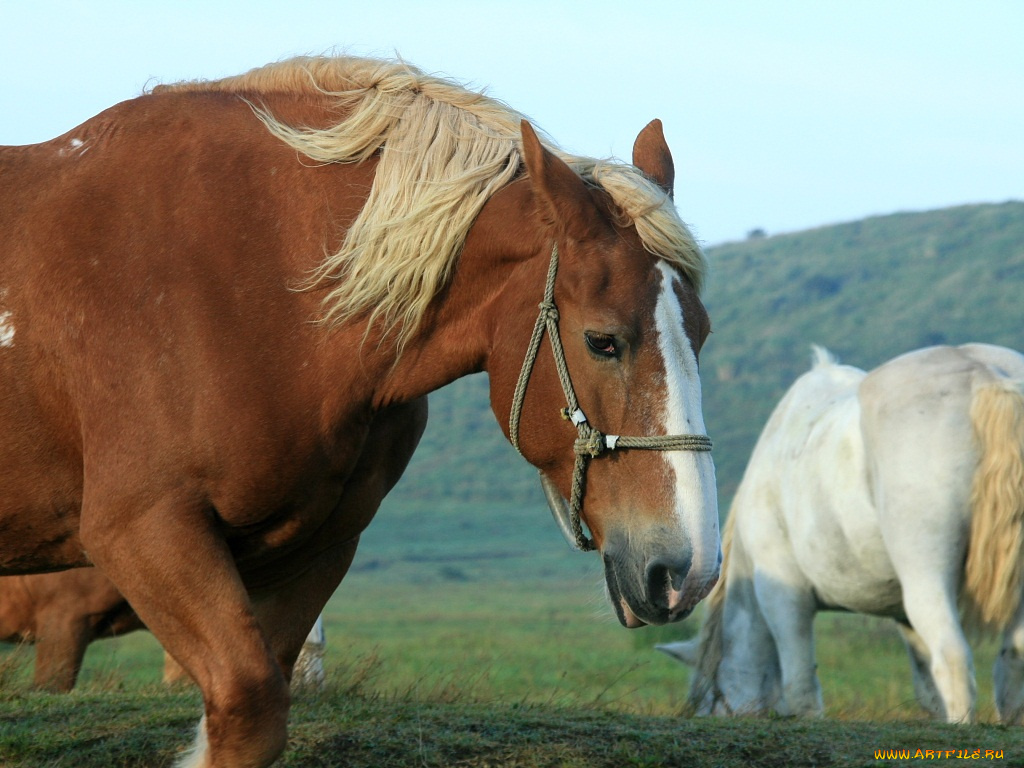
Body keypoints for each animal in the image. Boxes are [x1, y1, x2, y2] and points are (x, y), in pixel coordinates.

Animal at [0, 55, 720, 768]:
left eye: (704, 333)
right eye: (602, 340)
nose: (685, 571)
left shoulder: (310, 550)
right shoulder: (145, 532)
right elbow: (247, 706)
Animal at [659, 346, 1024, 724]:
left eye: (710, 696)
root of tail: (986, 376)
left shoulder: (784, 599)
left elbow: (801, 687)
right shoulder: (904, 619)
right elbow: (928, 691)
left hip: (928, 580)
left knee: (953, 657)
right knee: (1012, 659)